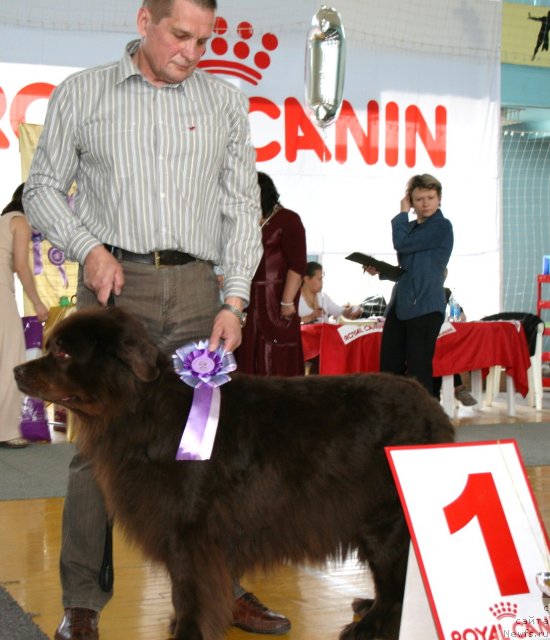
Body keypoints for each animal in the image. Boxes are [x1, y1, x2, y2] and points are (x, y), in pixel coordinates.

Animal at [12, 308, 454, 636]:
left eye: (63, 354)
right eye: (50, 347)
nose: (17, 371)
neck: (143, 409)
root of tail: (433, 409)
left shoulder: (188, 531)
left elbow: (189, 591)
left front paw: (187, 633)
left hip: (386, 521)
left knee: (397, 585)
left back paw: (369, 625)